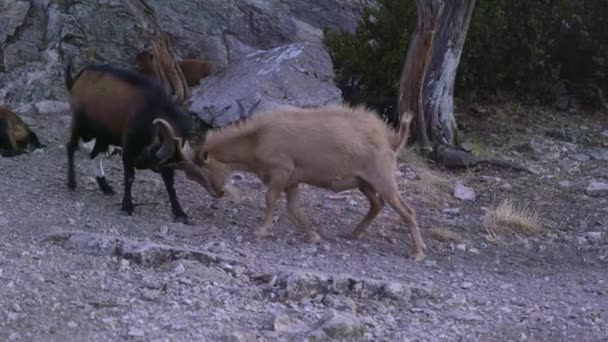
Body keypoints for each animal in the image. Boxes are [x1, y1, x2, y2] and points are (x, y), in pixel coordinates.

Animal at [171, 103, 428, 260]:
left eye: (199, 170)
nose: (217, 193)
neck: (257, 139)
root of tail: (390, 140)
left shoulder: (281, 171)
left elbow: (270, 198)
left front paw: (262, 230)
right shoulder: (292, 180)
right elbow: (293, 207)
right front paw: (313, 234)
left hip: (382, 178)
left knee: (407, 210)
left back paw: (417, 251)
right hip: (364, 182)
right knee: (377, 204)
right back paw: (357, 232)